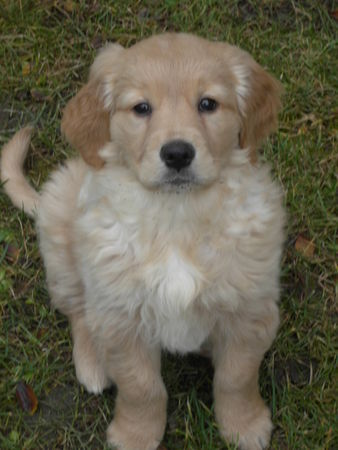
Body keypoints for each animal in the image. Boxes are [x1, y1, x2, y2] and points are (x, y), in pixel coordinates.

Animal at [1, 33, 284, 448]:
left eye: (208, 104)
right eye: (141, 108)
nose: (178, 153)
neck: (176, 214)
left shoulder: (248, 308)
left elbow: (236, 377)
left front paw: (244, 426)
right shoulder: (122, 318)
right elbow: (142, 389)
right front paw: (136, 435)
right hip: (61, 240)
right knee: (78, 313)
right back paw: (92, 364)